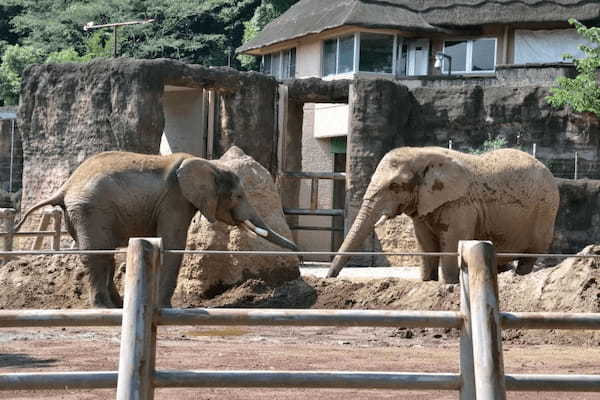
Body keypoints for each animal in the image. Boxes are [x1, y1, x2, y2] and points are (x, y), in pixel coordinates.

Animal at [17, 152, 298, 308]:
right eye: (238, 196)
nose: (298, 251)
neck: (208, 163)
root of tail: (65, 186)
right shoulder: (174, 199)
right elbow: (173, 243)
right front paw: (165, 307)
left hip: (80, 213)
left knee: (106, 254)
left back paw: (118, 305)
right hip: (90, 209)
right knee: (98, 253)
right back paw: (103, 307)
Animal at [326, 146, 560, 282]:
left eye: (395, 186)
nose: (329, 278)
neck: (420, 154)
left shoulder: (459, 204)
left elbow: (452, 241)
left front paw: (448, 285)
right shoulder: (425, 204)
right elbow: (425, 243)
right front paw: (428, 283)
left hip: (545, 213)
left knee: (529, 257)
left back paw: (519, 278)